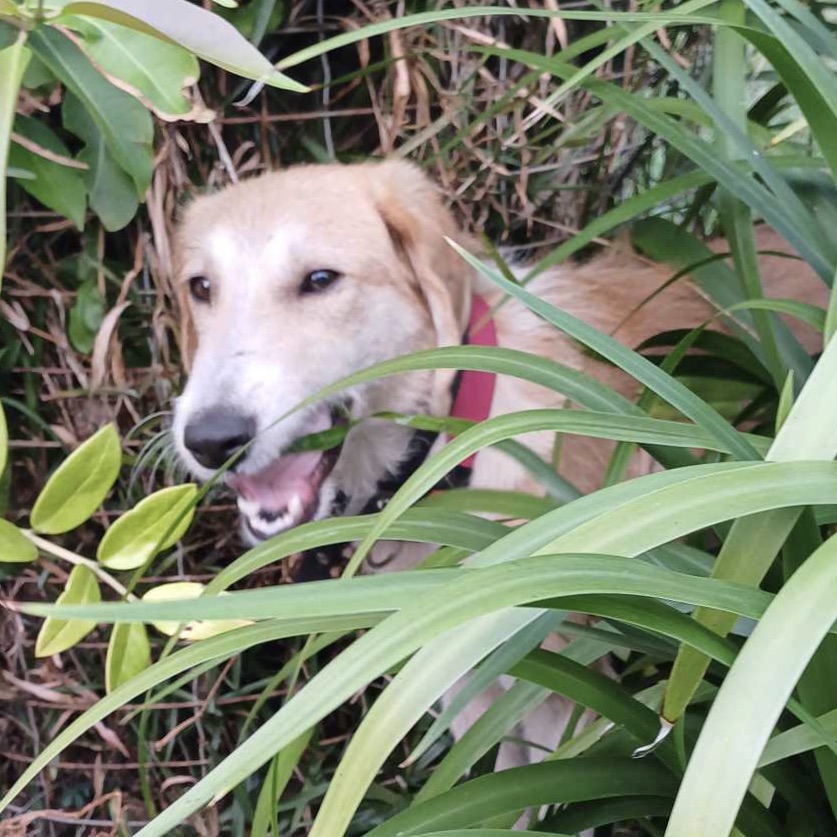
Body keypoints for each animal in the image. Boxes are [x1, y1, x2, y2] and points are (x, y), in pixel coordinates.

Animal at [170, 157, 824, 772]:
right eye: (201, 288)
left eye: (321, 279)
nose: (211, 439)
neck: (446, 459)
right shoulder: (466, 687)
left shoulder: (566, 689)